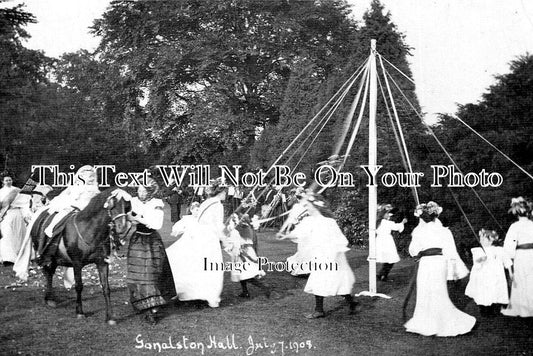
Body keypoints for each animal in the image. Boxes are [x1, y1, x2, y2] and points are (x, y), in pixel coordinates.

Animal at [29, 189, 132, 326]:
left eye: (126, 205)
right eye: (112, 204)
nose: (123, 227)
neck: (89, 231)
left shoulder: (102, 263)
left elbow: (106, 288)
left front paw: (110, 317)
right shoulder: (76, 264)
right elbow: (79, 286)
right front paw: (80, 312)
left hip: (54, 258)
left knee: (49, 273)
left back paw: (50, 298)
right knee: (47, 272)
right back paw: (49, 298)